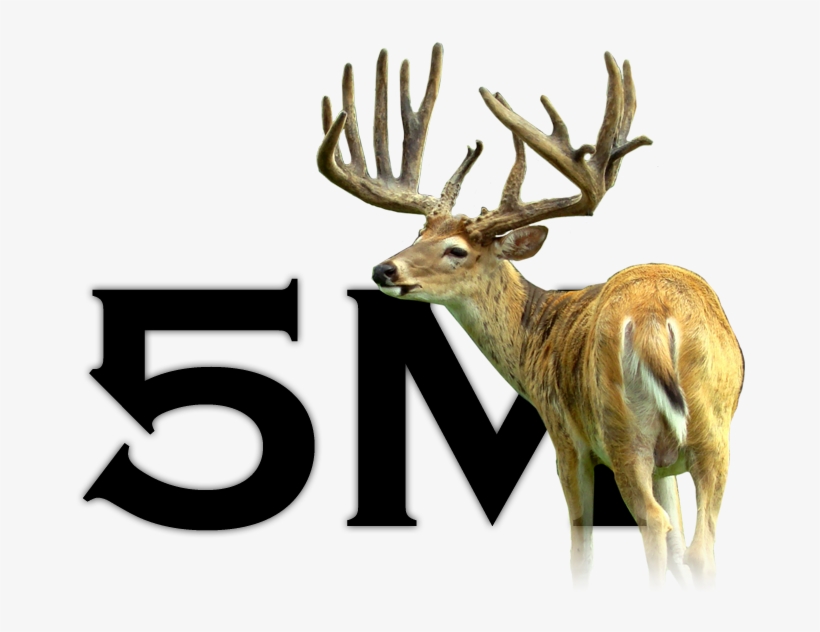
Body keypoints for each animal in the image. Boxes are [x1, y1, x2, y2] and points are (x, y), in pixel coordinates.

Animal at [317, 44, 744, 588]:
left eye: (457, 251)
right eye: (419, 234)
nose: (383, 268)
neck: (541, 334)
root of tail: (654, 315)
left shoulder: (565, 434)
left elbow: (581, 549)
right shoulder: (668, 464)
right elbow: (677, 543)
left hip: (620, 430)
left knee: (652, 524)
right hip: (712, 427)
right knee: (696, 545)